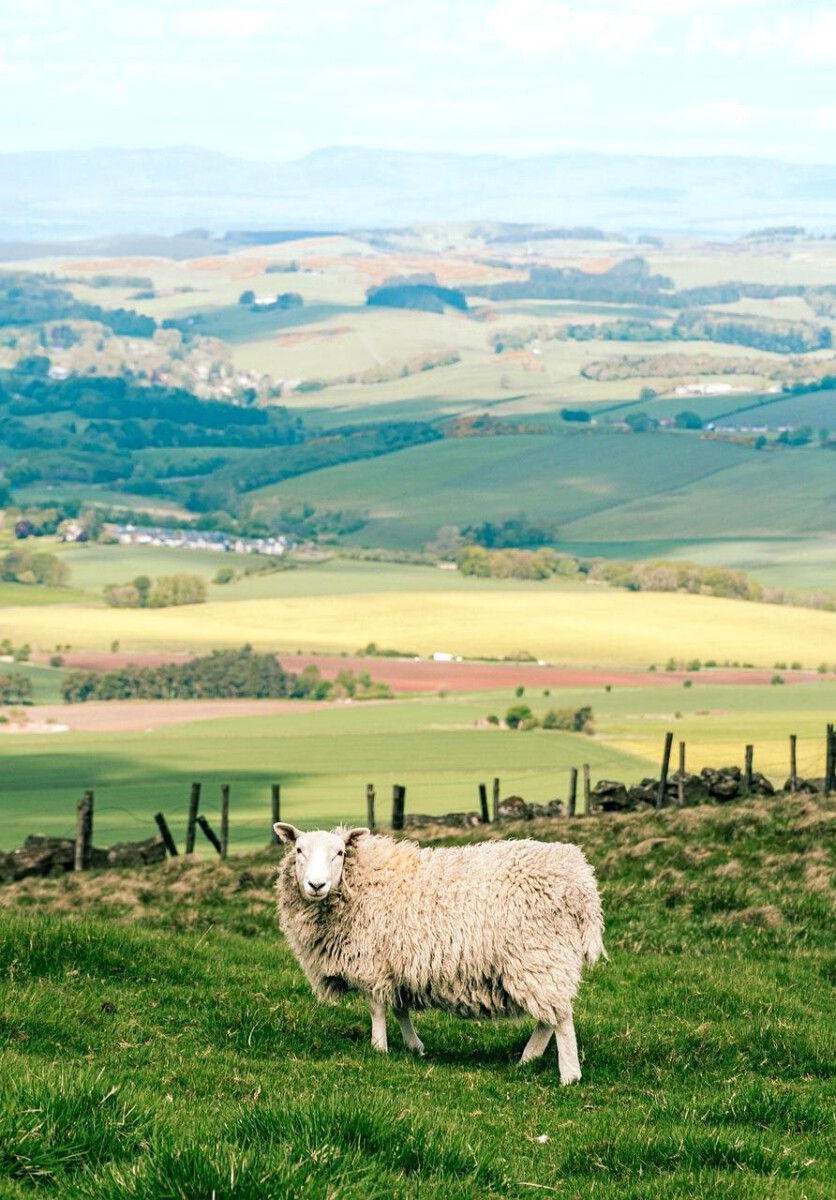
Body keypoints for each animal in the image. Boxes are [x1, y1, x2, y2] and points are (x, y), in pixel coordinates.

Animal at [274, 823, 606, 1084]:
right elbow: (400, 1008)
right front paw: (414, 1046)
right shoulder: (398, 964)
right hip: (544, 961)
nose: (316, 884)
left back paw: (569, 1075)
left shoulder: (372, 963)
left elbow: (377, 1008)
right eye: (299, 850)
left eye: (340, 853)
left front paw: (379, 1048)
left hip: (541, 954)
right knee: (550, 1016)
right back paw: (529, 1059)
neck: (363, 881)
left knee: (561, 1018)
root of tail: (582, 882)